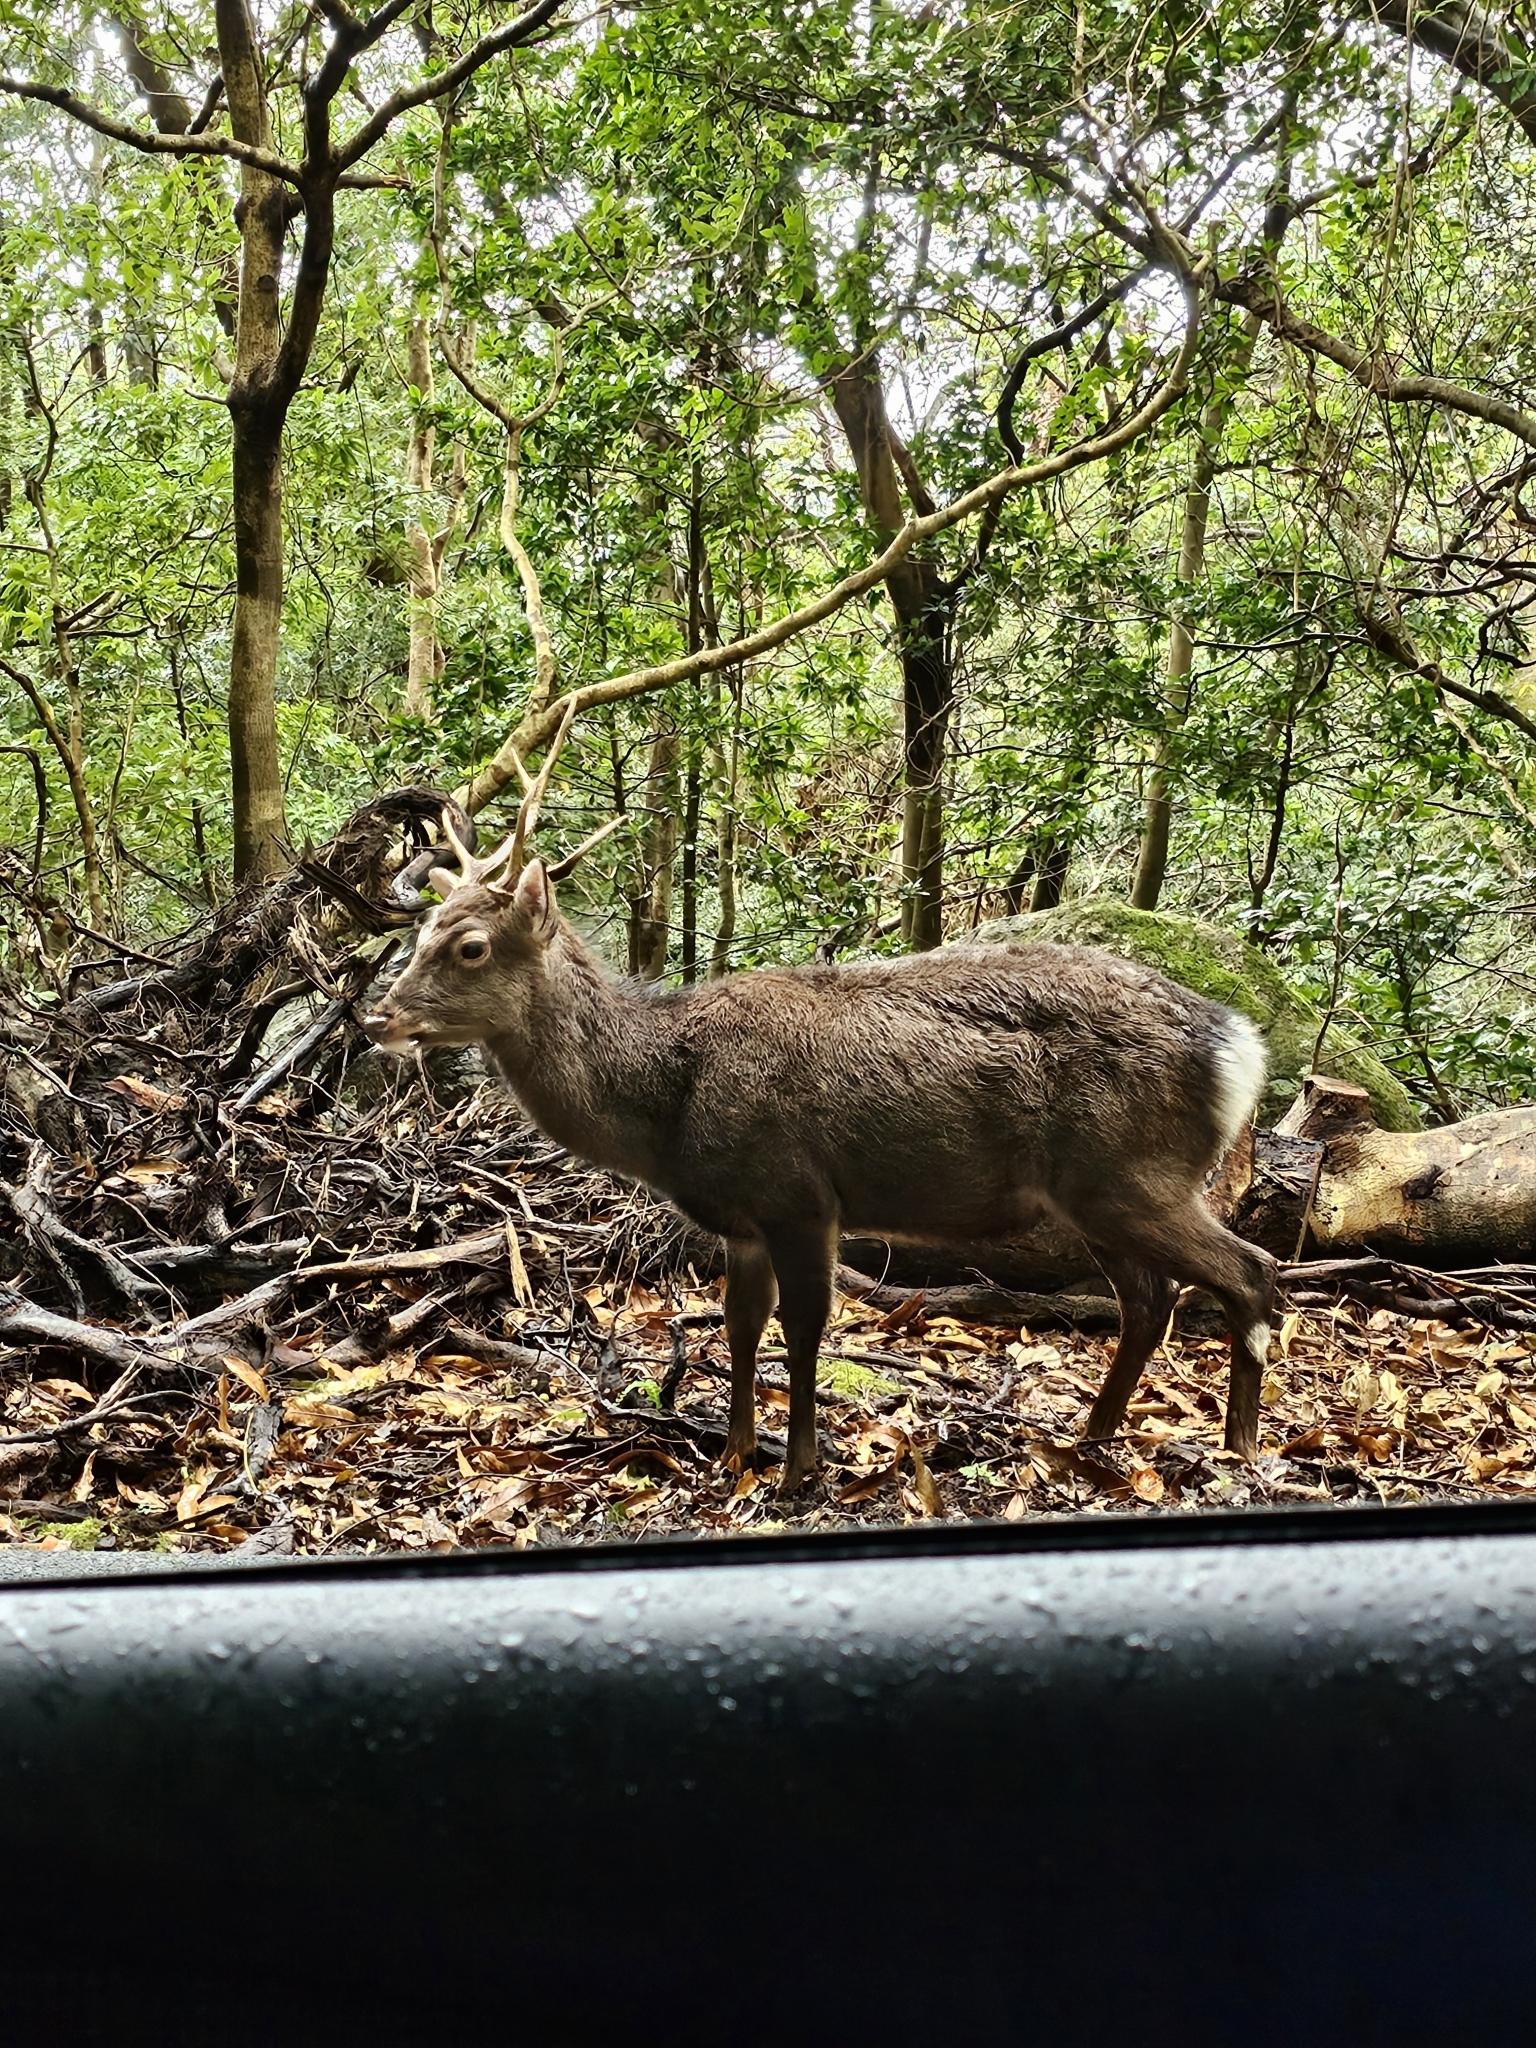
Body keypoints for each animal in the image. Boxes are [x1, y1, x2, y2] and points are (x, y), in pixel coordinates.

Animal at [363, 709, 1278, 1493]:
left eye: (470, 947)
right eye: (420, 931)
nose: (379, 1016)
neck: (667, 1106)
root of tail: (1241, 1048)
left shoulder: (798, 1193)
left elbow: (804, 1328)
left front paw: (799, 1469)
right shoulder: (741, 1220)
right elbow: (739, 1325)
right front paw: (734, 1455)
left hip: (1133, 1173)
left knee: (1251, 1271)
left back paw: (1239, 1446)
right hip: (1096, 1192)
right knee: (1150, 1300)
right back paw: (1093, 1435)